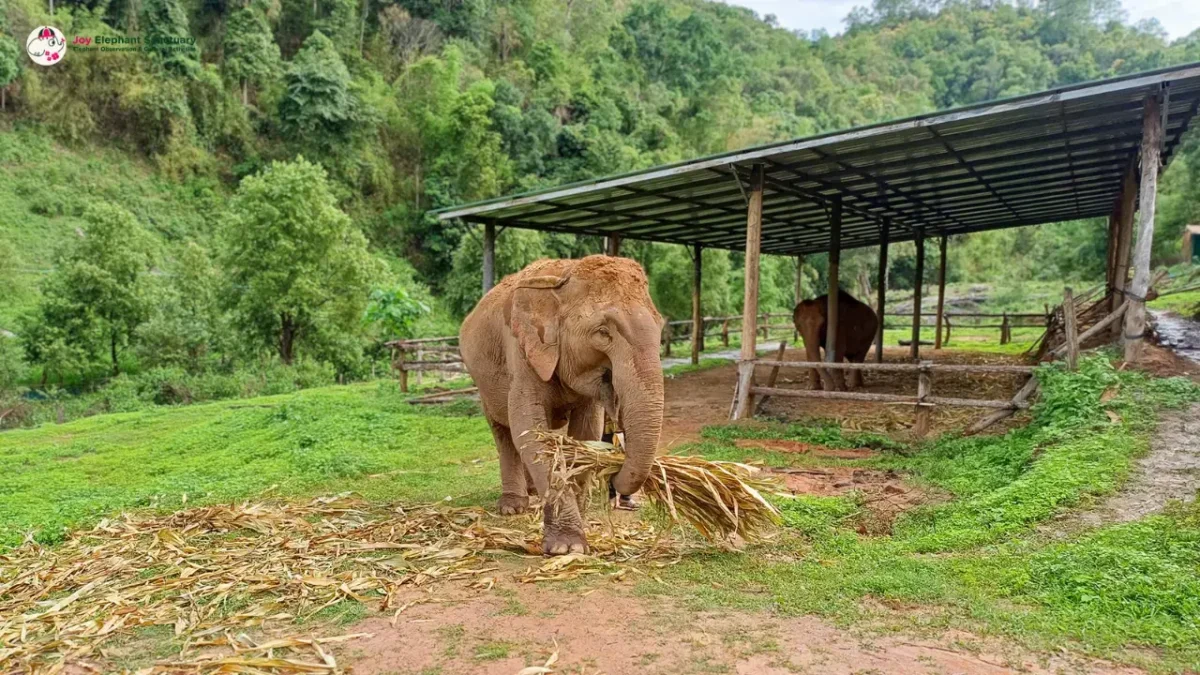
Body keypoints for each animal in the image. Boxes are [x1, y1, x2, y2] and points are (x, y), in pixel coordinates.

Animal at [459, 255, 665, 555]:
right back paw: (513, 507)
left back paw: (533, 493)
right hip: (481, 383)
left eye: (661, 327)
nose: (615, 476)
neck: (566, 274)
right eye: (603, 332)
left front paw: (579, 522)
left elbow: (586, 433)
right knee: (503, 431)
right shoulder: (521, 351)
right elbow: (530, 430)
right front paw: (567, 548)